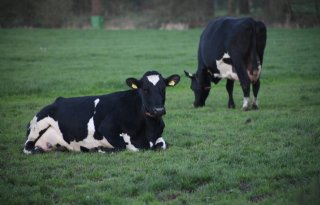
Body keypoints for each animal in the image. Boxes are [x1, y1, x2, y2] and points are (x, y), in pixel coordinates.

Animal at [23, 71, 180, 154]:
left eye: (163, 88)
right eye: (145, 89)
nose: (158, 110)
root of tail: (58, 100)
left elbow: (162, 144)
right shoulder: (107, 127)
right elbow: (123, 146)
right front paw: (99, 148)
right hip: (38, 126)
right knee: (27, 147)